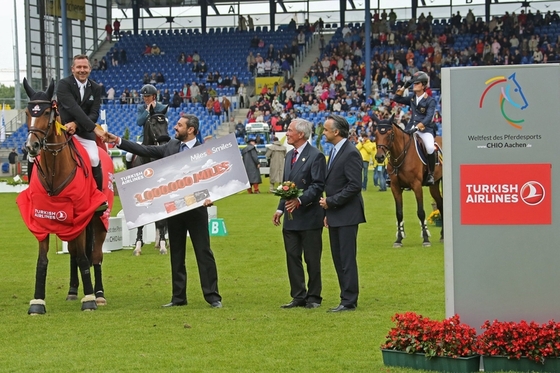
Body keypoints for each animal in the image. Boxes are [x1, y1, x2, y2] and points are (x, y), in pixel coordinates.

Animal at [17, 78, 114, 314]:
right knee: (73, 252)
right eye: (28, 111)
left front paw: (89, 299)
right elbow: (43, 260)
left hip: (99, 219)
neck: (54, 169)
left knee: (95, 255)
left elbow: (84, 258)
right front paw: (37, 302)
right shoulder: (42, 218)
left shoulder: (80, 216)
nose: (31, 146)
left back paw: (99, 294)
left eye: (46, 112)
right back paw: (72, 290)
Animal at [128, 104, 170, 256]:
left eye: (166, 122)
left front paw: (163, 246)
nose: (164, 143)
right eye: (153, 123)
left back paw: (161, 243)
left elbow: (162, 221)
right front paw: (137, 247)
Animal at [374, 116, 444, 247]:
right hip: (434, 185)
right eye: (375, 134)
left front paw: (425, 239)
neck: (401, 156)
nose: (379, 157)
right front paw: (399, 239)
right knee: (440, 203)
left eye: (390, 134)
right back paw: (442, 235)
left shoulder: (417, 186)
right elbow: (399, 213)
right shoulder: (395, 187)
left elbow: (421, 212)